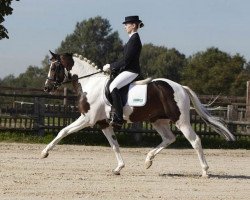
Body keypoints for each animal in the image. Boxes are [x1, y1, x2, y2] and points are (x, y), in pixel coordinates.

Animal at [42, 51, 235, 177]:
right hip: (158, 121)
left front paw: (44, 153)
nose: (47, 87)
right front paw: (119, 168)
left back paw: (205, 171)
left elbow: (63, 131)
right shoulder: (103, 123)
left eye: (54, 67)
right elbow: (114, 145)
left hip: (181, 121)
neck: (90, 82)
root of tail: (180, 87)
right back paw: (148, 160)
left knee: (195, 141)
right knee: (169, 138)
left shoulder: (87, 119)